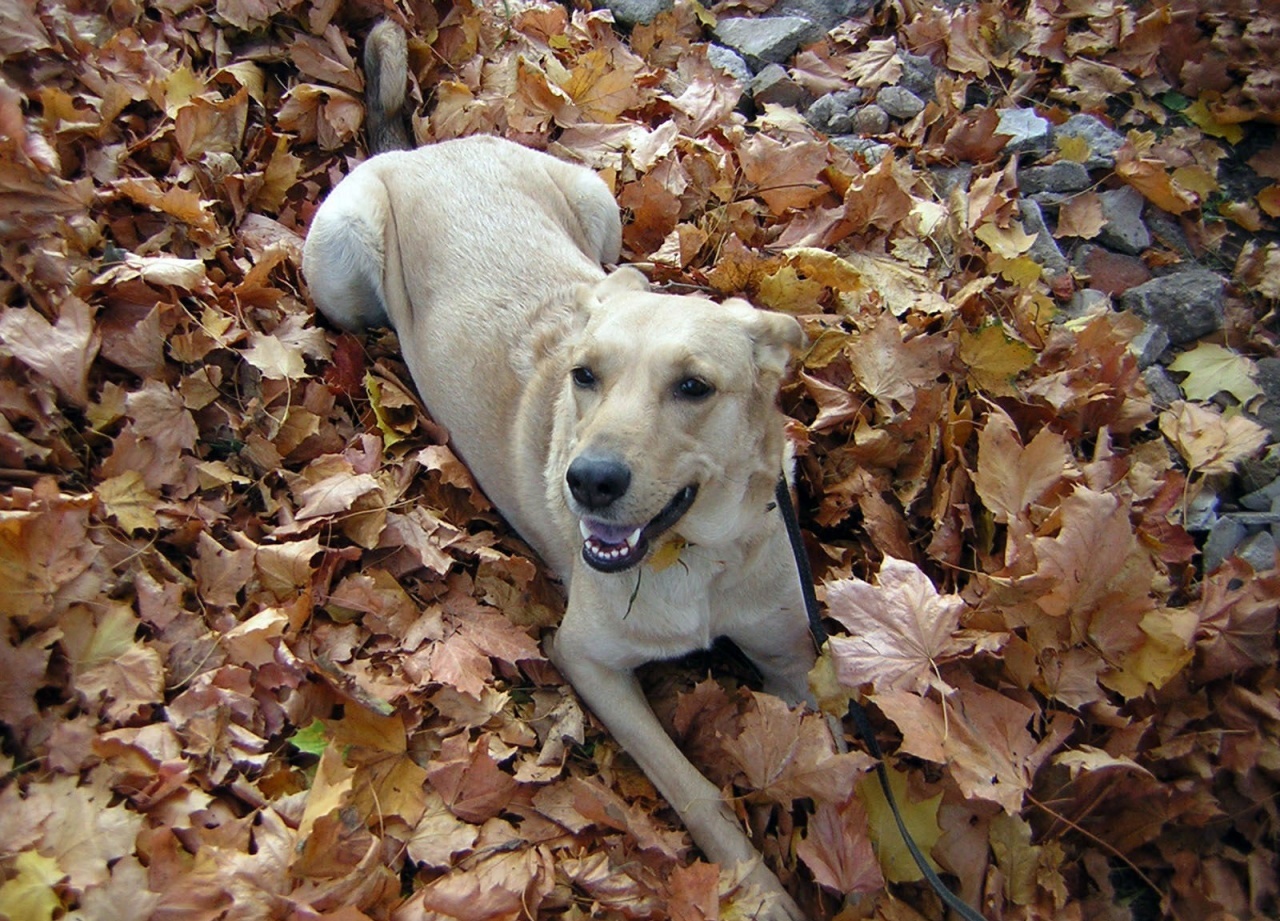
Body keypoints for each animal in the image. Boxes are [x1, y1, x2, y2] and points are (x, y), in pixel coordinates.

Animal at [300, 21, 814, 921]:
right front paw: (761, 891)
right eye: (585, 375)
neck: (698, 558)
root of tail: (427, 148)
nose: (590, 481)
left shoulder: (793, 657)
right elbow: (699, 794)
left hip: (596, 202)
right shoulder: (588, 659)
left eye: (694, 386)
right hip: (341, 254)